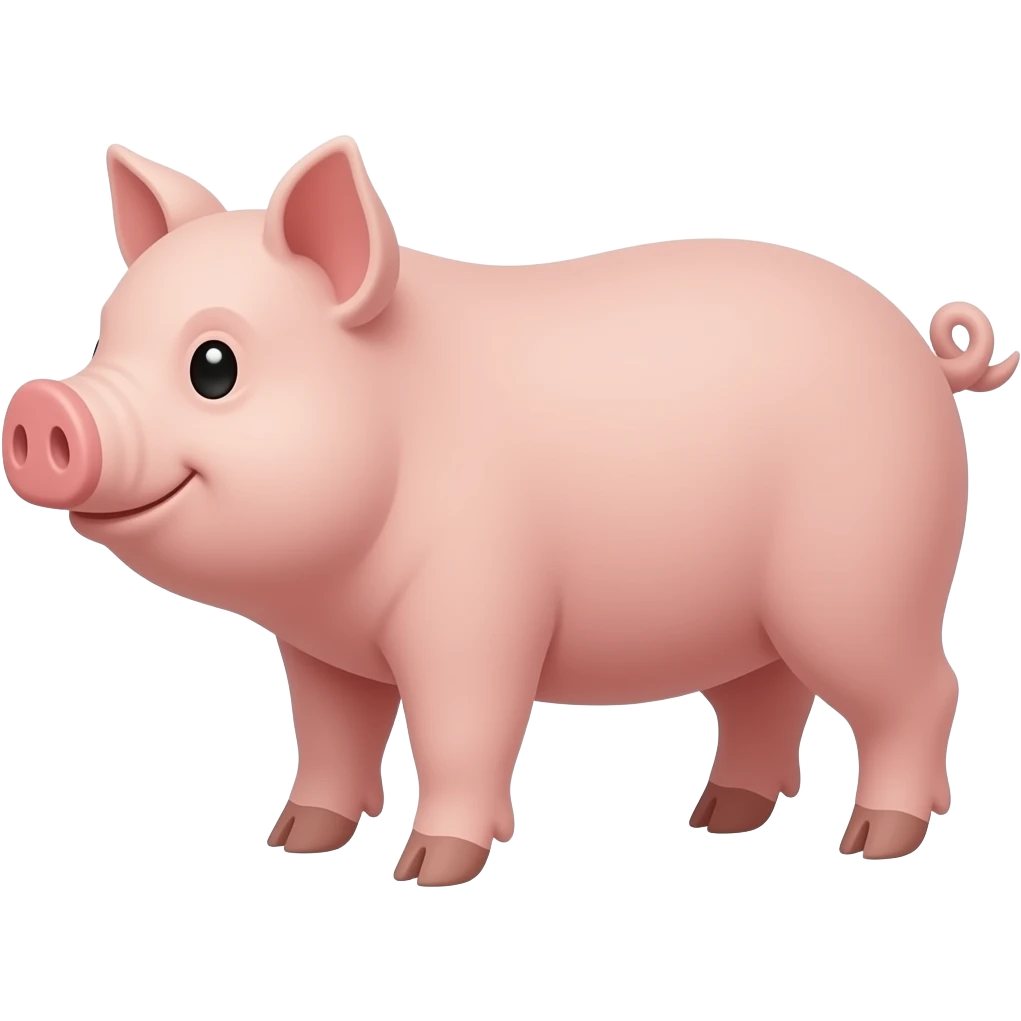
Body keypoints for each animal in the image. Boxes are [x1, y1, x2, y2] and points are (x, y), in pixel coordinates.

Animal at [2, 139, 1014, 884]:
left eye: (214, 365)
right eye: (104, 336)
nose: (42, 408)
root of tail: (926, 358)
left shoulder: (479, 609)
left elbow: (461, 728)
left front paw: (427, 868)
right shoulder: (321, 648)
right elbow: (329, 733)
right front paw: (295, 839)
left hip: (859, 580)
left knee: (922, 689)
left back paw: (872, 841)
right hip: (751, 618)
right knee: (766, 696)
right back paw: (716, 818)